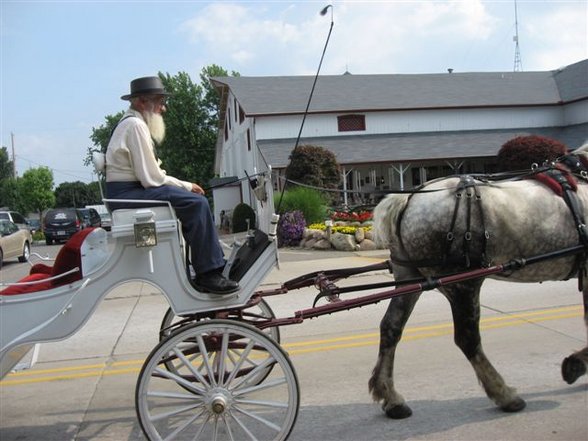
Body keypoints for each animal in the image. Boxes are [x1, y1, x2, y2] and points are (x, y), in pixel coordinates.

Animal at [370, 144, 588, 416]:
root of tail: (409, 198)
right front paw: (577, 364)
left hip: (411, 277)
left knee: (391, 327)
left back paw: (392, 399)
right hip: (463, 284)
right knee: (467, 338)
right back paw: (504, 395)